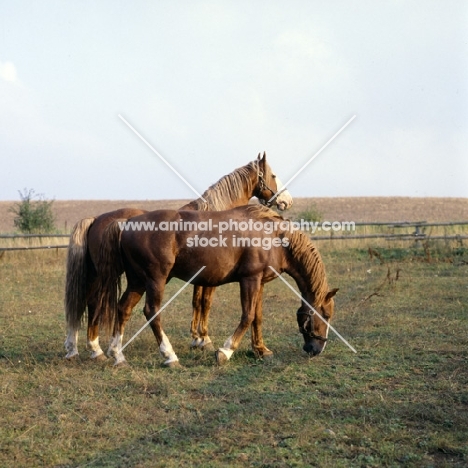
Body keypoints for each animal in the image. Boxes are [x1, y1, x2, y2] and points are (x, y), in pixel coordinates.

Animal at [64, 154, 292, 358]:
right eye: (273, 174)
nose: (287, 201)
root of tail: (97, 219)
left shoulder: (202, 277)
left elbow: (197, 302)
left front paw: (199, 339)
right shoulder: (209, 280)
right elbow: (204, 303)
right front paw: (203, 339)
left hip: (102, 274)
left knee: (85, 301)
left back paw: (80, 349)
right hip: (113, 274)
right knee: (97, 302)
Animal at [93, 205, 338, 366]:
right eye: (325, 315)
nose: (317, 349)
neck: (275, 237)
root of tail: (126, 225)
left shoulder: (259, 282)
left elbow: (257, 317)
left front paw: (261, 350)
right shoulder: (249, 280)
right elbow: (247, 316)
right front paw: (225, 351)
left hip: (138, 281)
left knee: (123, 309)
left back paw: (117, 355)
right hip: (155, 280)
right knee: (151, 312)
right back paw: (169, 356)